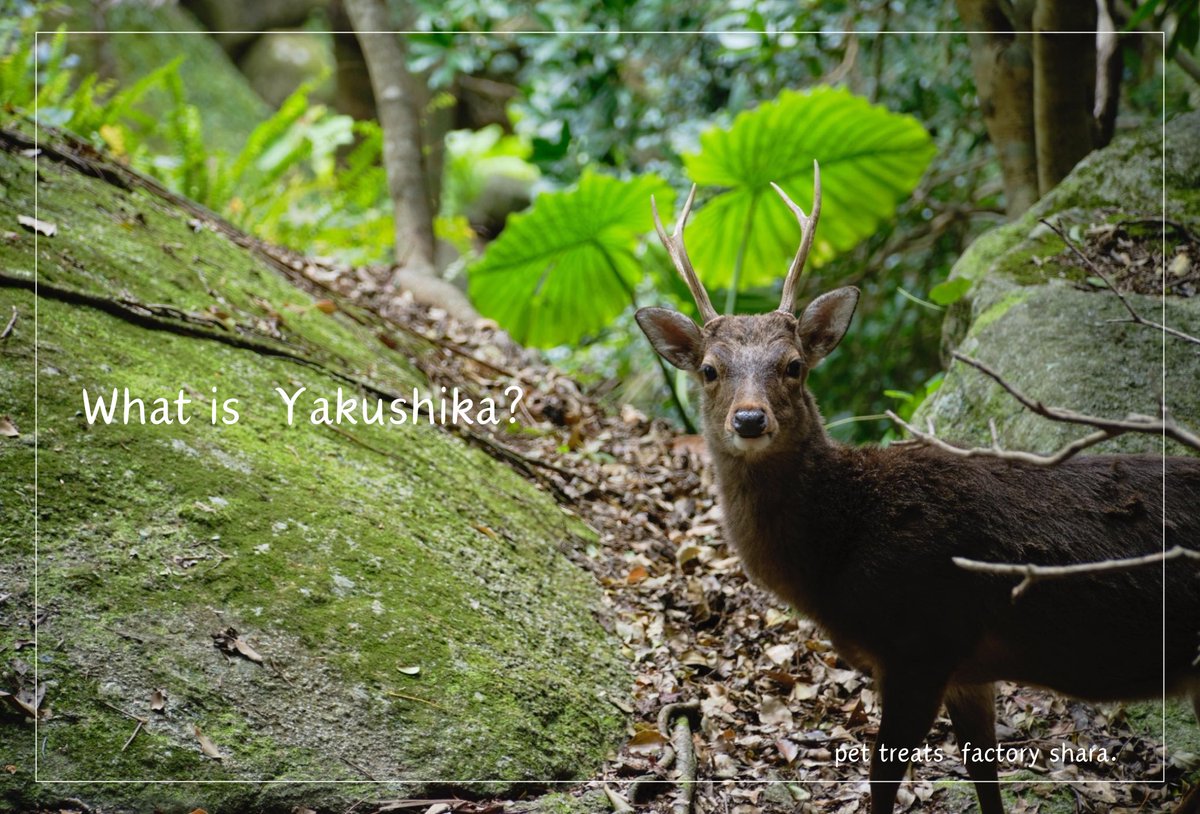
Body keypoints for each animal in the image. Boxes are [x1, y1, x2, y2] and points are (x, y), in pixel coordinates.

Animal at [635, 163, 1200, 814]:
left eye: (794, 364)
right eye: (709, 369)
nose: (750, 419)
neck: (836, 560)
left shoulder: (920, 640)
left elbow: (883, 779)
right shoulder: (968, 668)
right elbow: (984, 777)